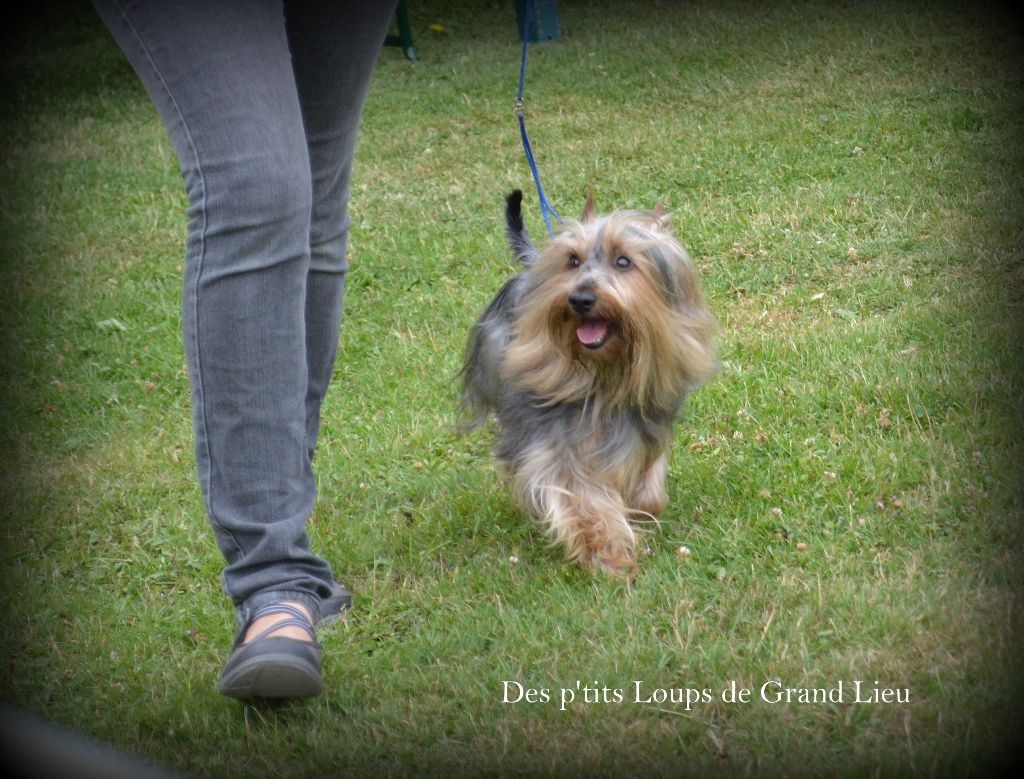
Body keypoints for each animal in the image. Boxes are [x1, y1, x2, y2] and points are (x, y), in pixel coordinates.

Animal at [460, 191, 716, 573]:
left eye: (623, 261)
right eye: (573, 260)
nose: (580, 299)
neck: (605, 376)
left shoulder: (646, 429)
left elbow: (649, 490)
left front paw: (639, 512)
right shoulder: (557, 445)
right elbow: (582, 498)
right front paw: (607, 555)